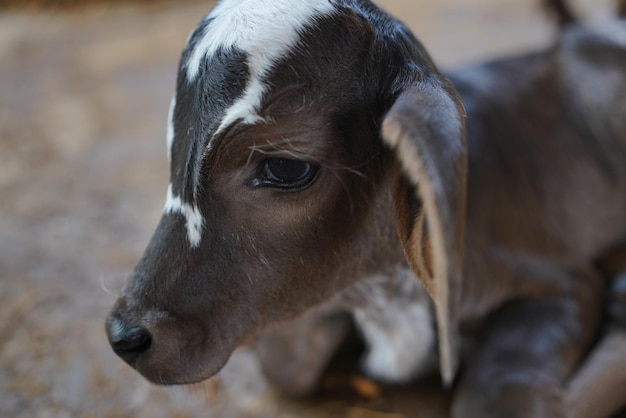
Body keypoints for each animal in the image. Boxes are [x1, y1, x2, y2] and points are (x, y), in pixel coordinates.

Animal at [103, 1, 624, 416]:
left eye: (284, 168)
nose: (124, 334)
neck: (381, 300)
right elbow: (289, 368)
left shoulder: (562, 282)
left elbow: (497, 397)